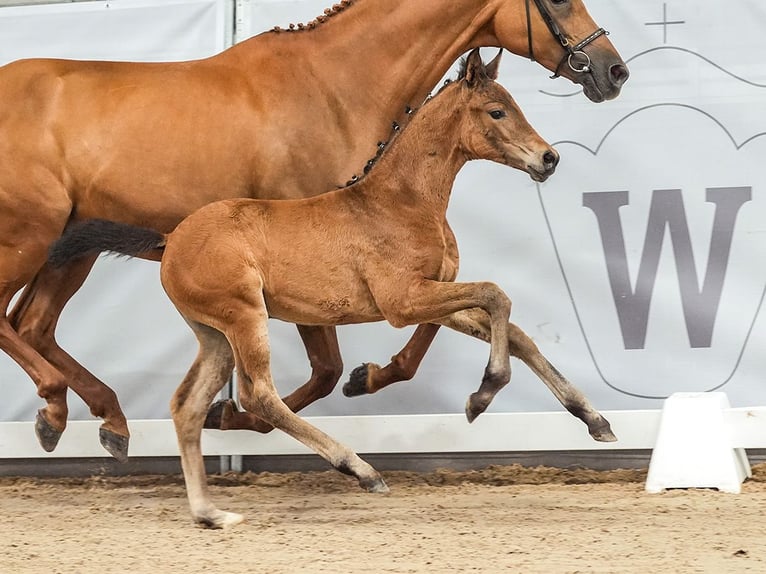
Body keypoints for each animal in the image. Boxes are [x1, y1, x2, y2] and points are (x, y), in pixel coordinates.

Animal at [46, 51, 612, 528]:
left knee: (188, 405)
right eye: (497, 111)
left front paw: (595, 420)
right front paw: (482, 394)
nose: (548, 159)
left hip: (213, 335)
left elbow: (515, 330)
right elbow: (498, 295)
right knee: (258, 395)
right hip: (244, 316)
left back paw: (211, 513)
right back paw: (360, 470)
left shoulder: (431, 295)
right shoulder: (403, 301)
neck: (400, 201)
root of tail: (170, 240)